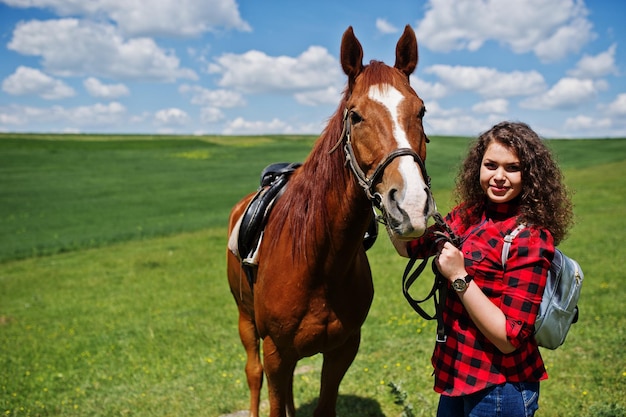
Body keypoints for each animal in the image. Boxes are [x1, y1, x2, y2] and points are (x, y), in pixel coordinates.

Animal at [225, 25, 434, 416]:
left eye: (422, 111)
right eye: (355, 116)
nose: (411, 204)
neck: (318, 260)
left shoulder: (342, 350)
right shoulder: (276, 352)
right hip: (246, 321)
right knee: (252, 373)